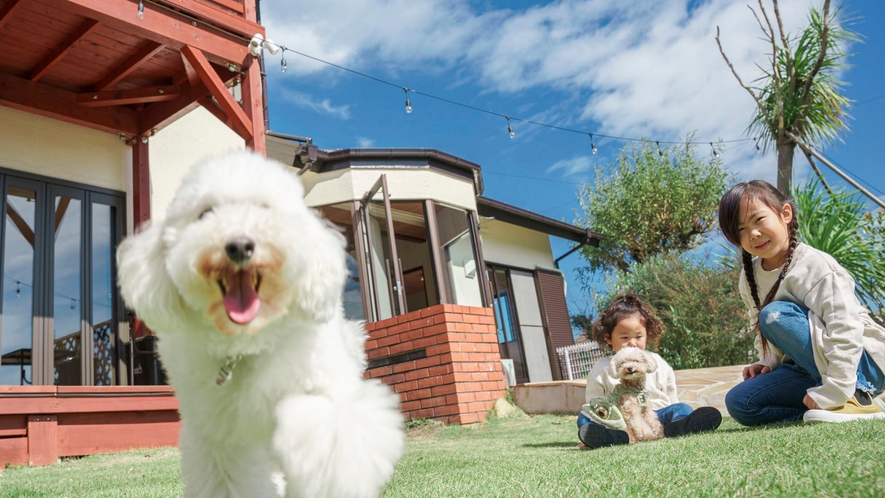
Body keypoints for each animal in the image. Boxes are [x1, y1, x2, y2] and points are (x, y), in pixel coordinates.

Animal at [116, 152, 404, 498]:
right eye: (205, 213)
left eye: (264, 209)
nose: (239, 245)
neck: (247, 342)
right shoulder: (219, 437)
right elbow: (230, 477)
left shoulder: (328, 394)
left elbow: (325, 438)